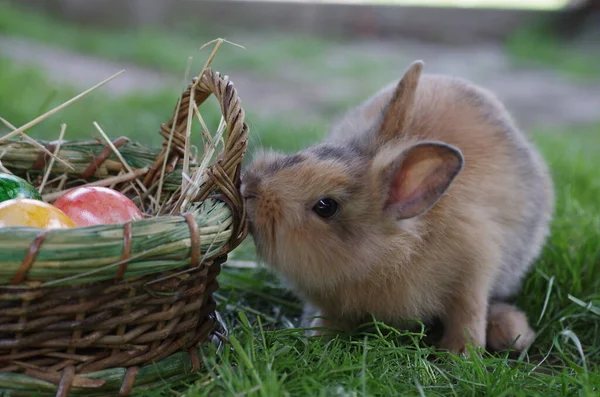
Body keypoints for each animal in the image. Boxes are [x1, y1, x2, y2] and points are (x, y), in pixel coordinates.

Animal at [241, 61, 556, 352]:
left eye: (325, 206)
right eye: (303, 153)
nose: (248, 188)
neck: (392, 255)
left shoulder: (474, 274)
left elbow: (468, 316)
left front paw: (461, 354)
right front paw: (317, 340)